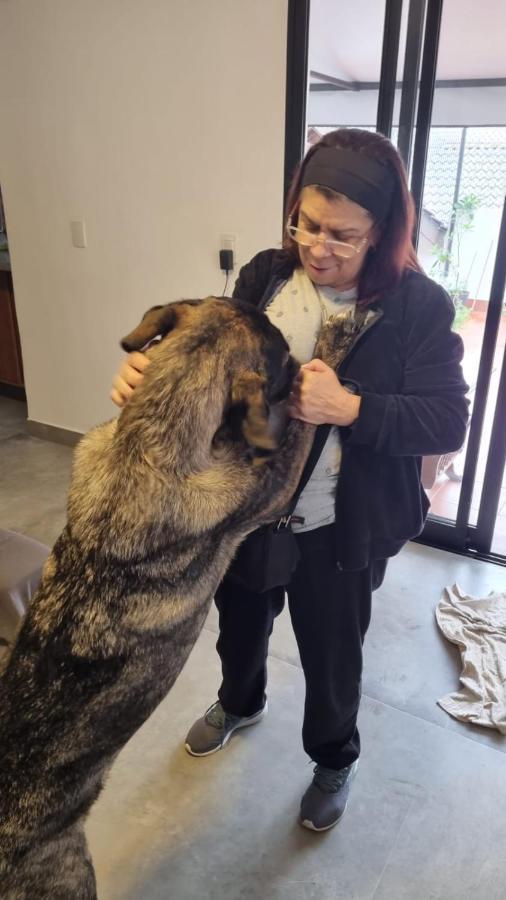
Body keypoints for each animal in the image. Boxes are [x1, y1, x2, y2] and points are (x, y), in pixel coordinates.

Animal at [0, 298, 314, 900]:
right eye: (282, 353)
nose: (295, 358)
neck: (148, 436)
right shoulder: (270, 490)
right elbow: (301, 431)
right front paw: (331, 361)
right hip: (69, 875)